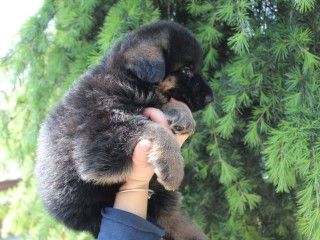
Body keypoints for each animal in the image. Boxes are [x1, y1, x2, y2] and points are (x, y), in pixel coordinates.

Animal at [35, 21, 212, 240]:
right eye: (186, 70)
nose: (210, 98)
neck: (125, 77)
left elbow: (160, 104)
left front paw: (182, 113)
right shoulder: (99, 139)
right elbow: (151, 128)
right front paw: (173, 162)